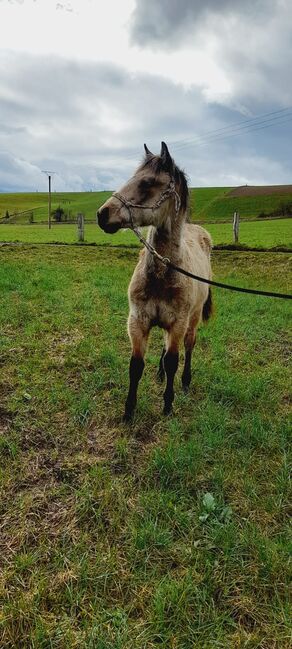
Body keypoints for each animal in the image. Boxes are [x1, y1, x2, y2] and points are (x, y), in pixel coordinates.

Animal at [97, 140, 213, 420]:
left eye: (147, 182)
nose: (102, 214)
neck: (163, 274)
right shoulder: (137, 321)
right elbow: (136, 365)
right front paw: (129, 410)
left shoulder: (178, 323)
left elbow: (173, 361)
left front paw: (168, 405)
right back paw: (159, 375)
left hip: (193, 319)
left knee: (189, 346)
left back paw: (185, 381)